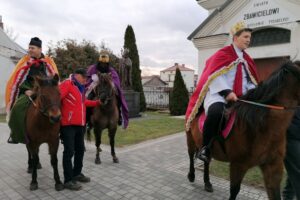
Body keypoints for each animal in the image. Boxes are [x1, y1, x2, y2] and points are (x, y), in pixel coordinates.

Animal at [186, 61, 300, 200]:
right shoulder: (238, 165)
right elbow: (234, 191)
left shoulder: (273, 166)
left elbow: (275, 194)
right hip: (190, 139)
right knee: (191, 156)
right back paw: (191, 176)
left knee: (207, 162)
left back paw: (207, 183)